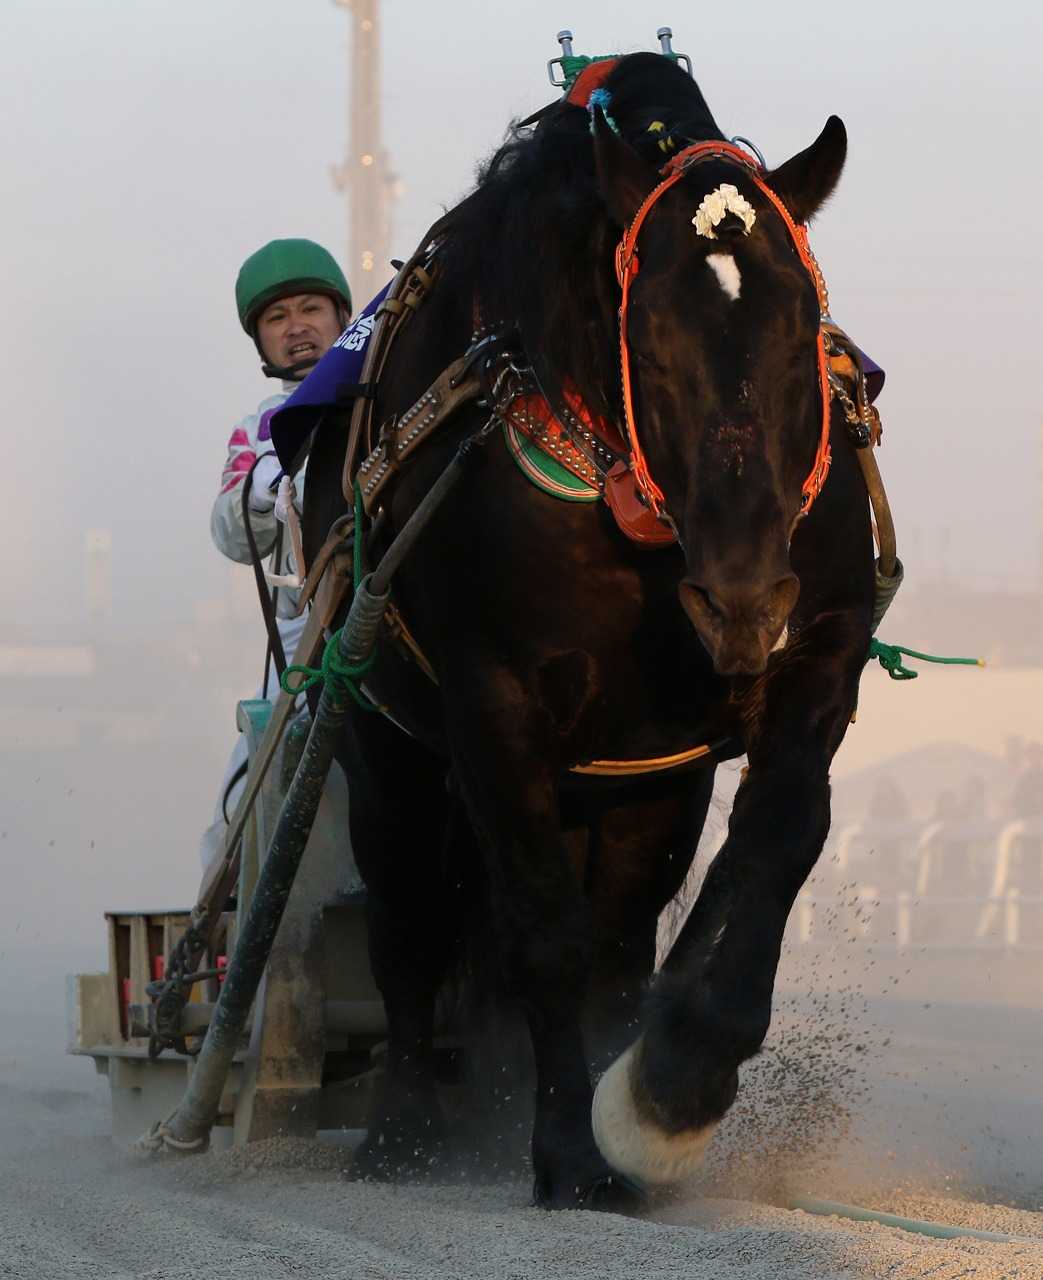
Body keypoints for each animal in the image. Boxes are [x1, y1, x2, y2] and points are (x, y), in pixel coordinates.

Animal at [302, 52, 875, 1208]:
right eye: (647, 345)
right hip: (381, 731)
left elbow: (776, 835)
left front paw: (672, 1080)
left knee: (615, 926)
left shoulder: (814, 644)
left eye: (801, 335)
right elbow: (536, 925)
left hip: (636, 777)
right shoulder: (492, 695)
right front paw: (571, 1147)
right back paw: (403, 1127)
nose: (740, 595)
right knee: (406, 910)